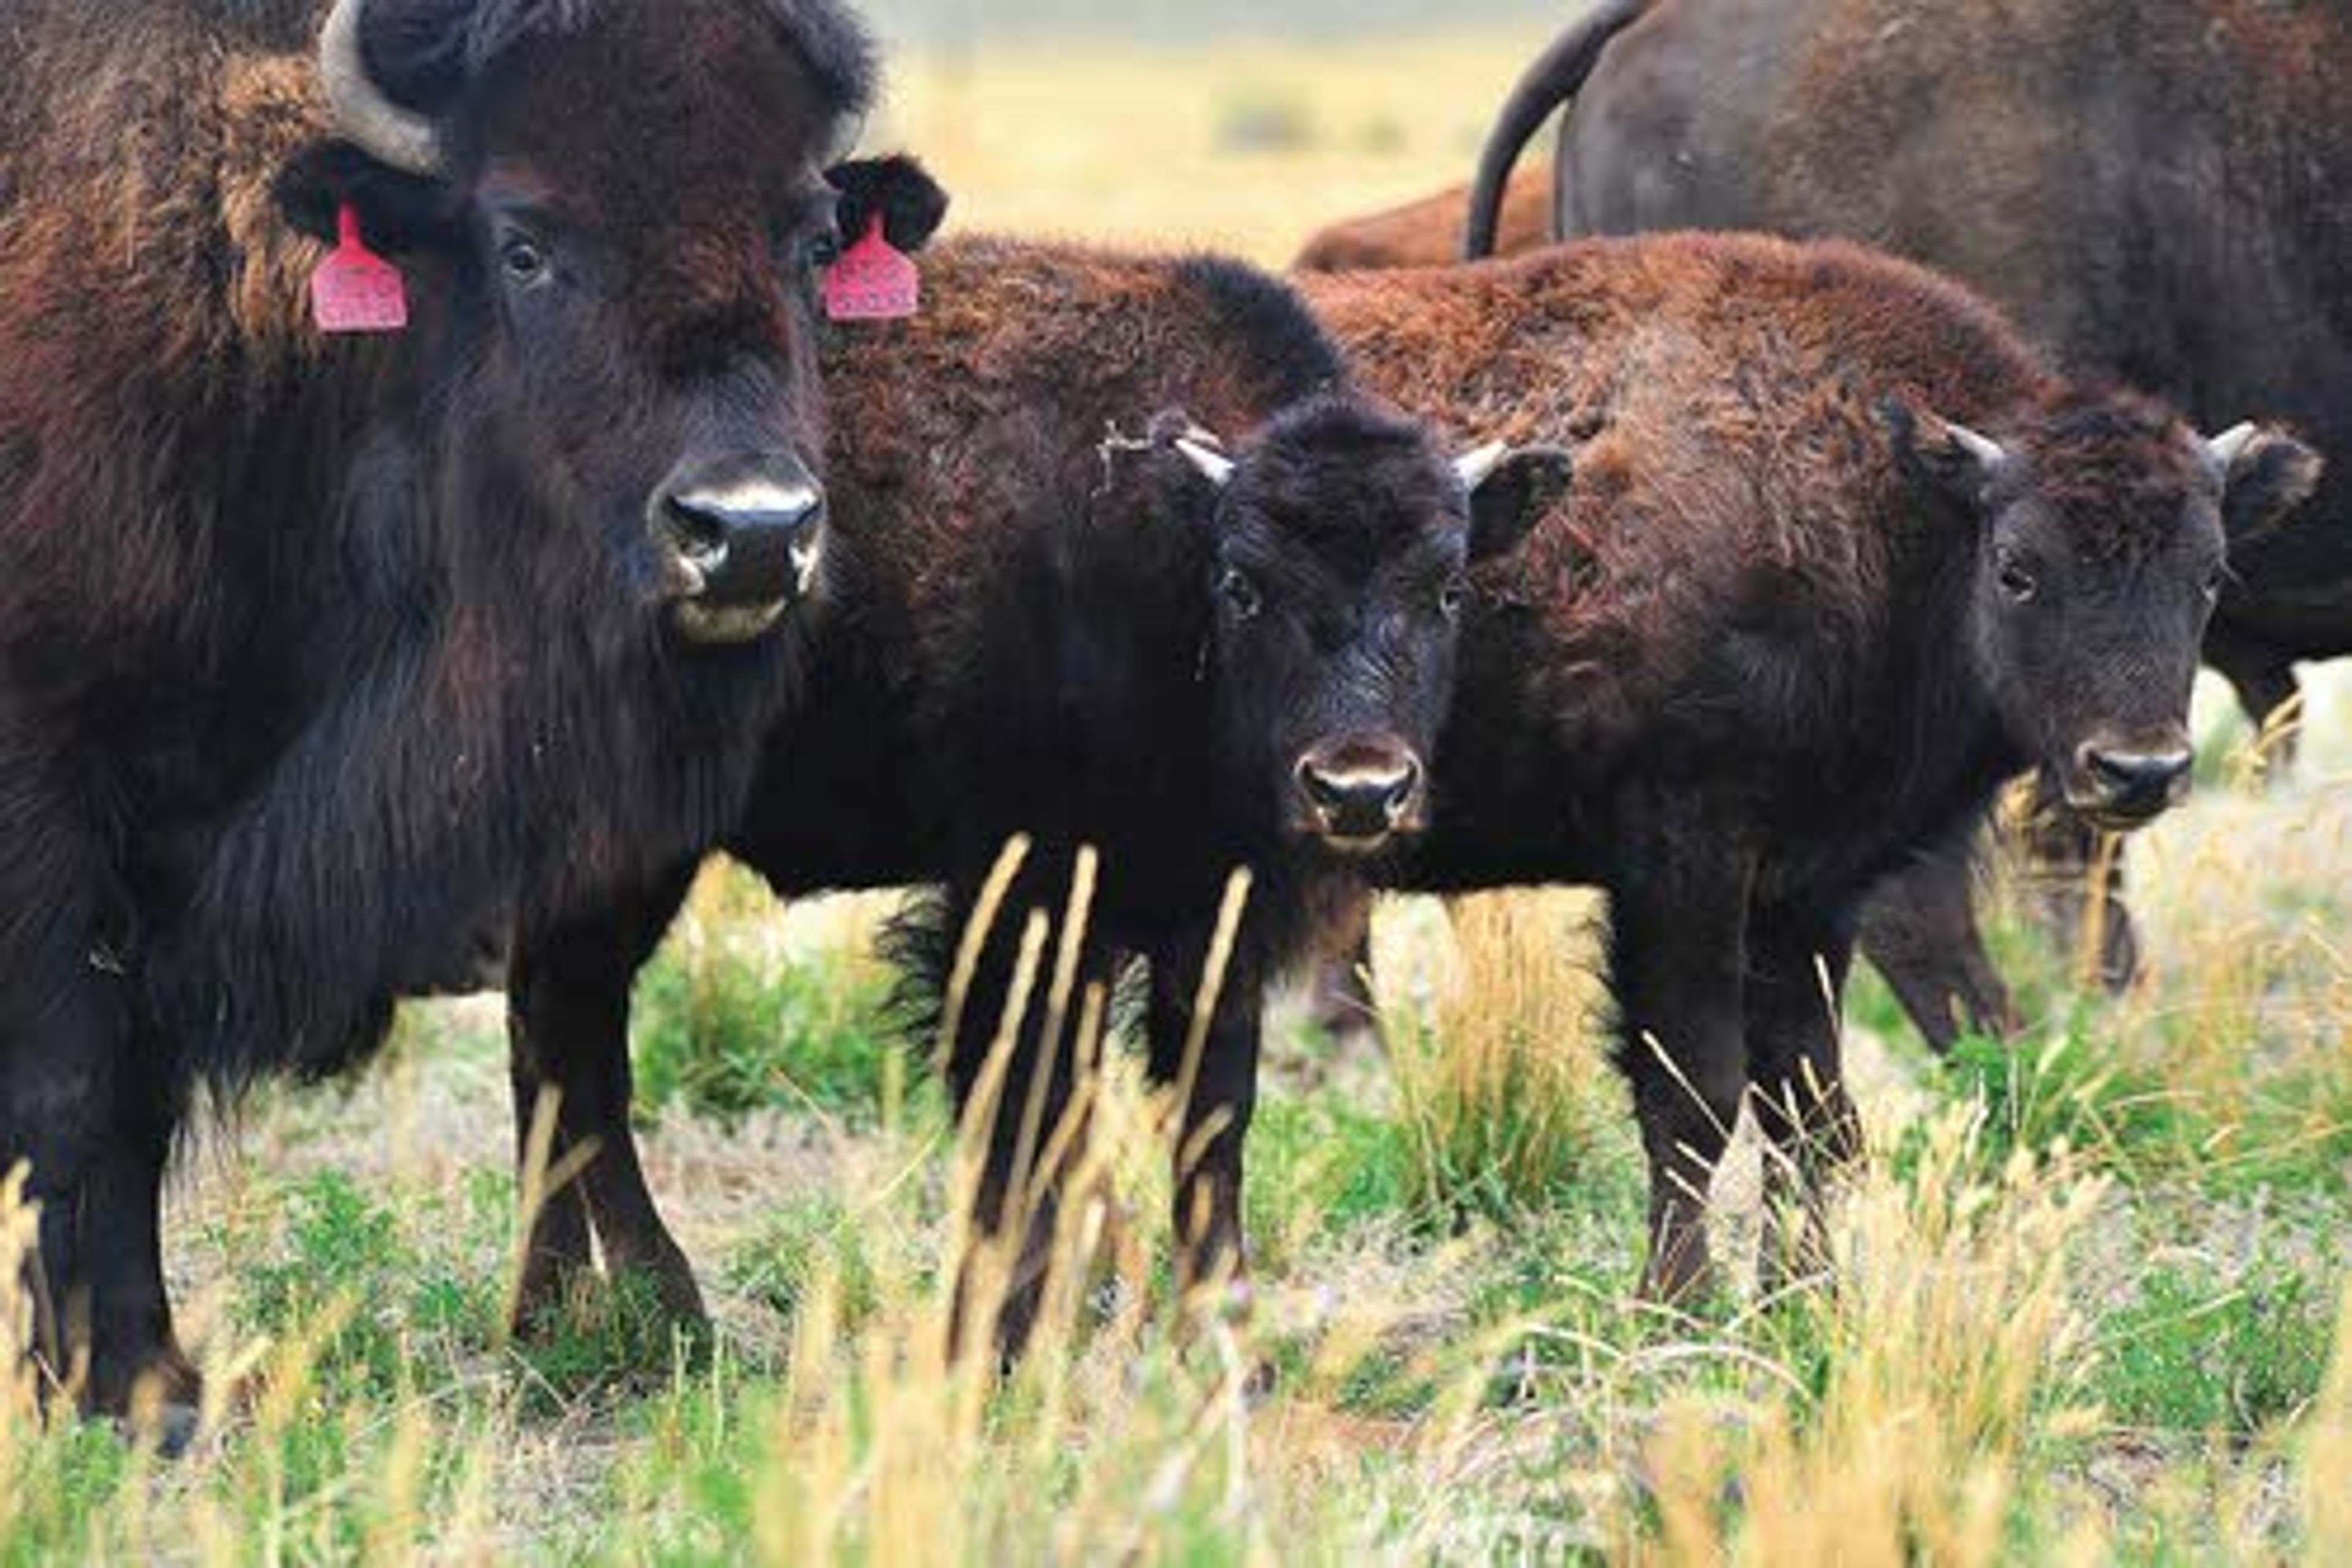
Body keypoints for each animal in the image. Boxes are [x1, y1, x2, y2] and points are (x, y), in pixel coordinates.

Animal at [0, 0, 889, 1429]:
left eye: (809, 237)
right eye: (523, 243)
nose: (750, 532)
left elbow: (132, 1097)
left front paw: (153, 1382)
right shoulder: (53, 795)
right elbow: (74, 1087)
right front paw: (110, 1389)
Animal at [494, 236, 1561, 1363]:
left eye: (1446, 587)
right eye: (1244, 584)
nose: (1359, 788)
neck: (1152, 540)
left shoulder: (1213, 917)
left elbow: (1207, 1113)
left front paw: (1217, 1333)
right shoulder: (1022, 896)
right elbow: (1026, 1111)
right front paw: (1002, 1337)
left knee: (552, 1027)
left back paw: (553, 1313)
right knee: (576, 1031)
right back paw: (659, 1315)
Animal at [1308, 239, 2314, 1297]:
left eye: (2209, 573)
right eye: (2018, 568)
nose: (2138, 771)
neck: (1884, 502)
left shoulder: (1810, 889)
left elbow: (1809, 1105)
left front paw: (1806, 1296)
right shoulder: (1686, 864)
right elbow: (1695, 1098)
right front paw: (1678, 1304)